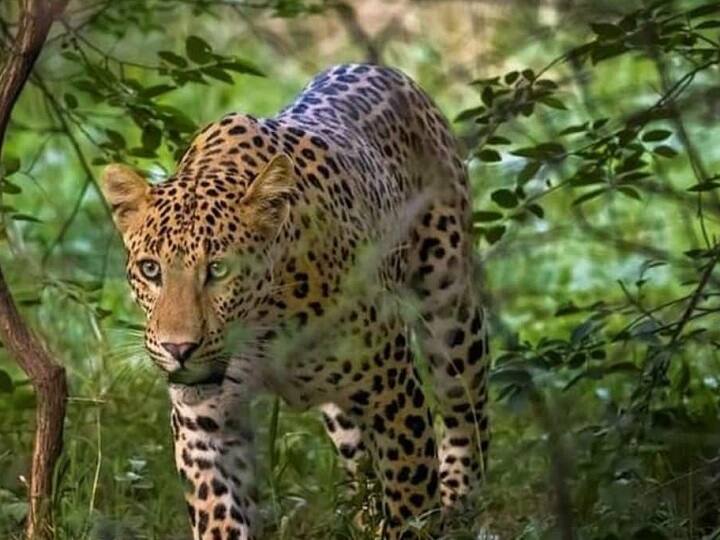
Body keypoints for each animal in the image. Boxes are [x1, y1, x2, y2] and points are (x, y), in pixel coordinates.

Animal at [100, 63, 490, 540]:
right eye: (151, 269)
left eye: (219, 270)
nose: (179, 349)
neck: (263, 330)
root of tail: (383, 69)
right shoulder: (204, 422)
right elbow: (218, 511)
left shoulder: (393, 389)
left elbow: (410, 495)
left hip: (449, 305)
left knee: (464, 404)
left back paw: (461, 498)